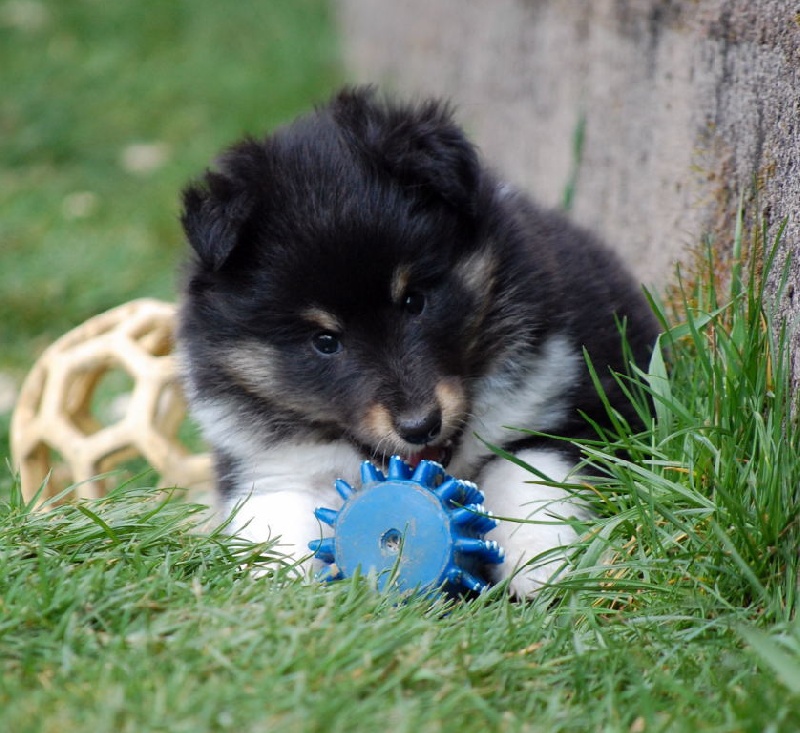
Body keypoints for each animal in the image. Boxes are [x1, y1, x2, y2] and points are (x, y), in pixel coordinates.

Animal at [178, 88, 660, 596]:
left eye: (414, 301)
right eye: (324, 341)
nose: (420, 426)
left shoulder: (574, 403)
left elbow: (525, 472)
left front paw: (544, 570)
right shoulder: (270, 465)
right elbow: (277, 521)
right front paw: (279, 593)